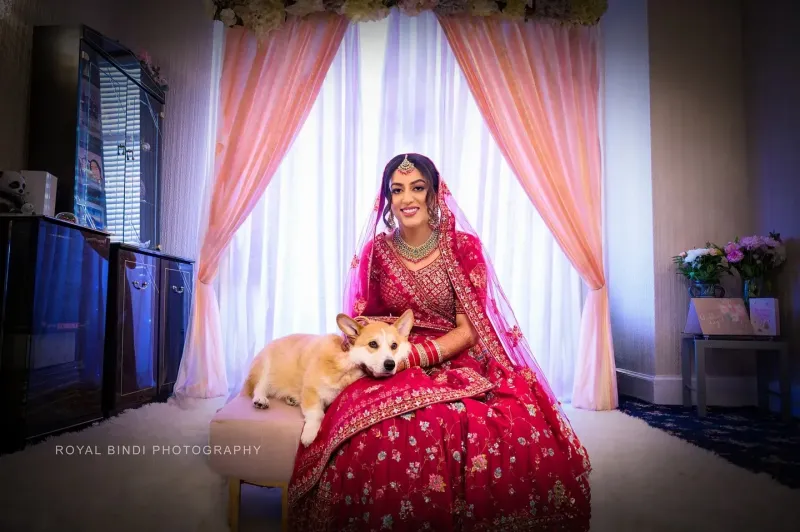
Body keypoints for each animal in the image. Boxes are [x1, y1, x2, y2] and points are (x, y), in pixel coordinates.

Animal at [242, 308, 412, 444]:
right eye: (373, 344)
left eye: (394, 346)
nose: (390, 364)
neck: (348, 365)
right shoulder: (311, 390)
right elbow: (316, 414)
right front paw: (309, 435)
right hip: (265, 366)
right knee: (260, 386)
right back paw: (260, 399)